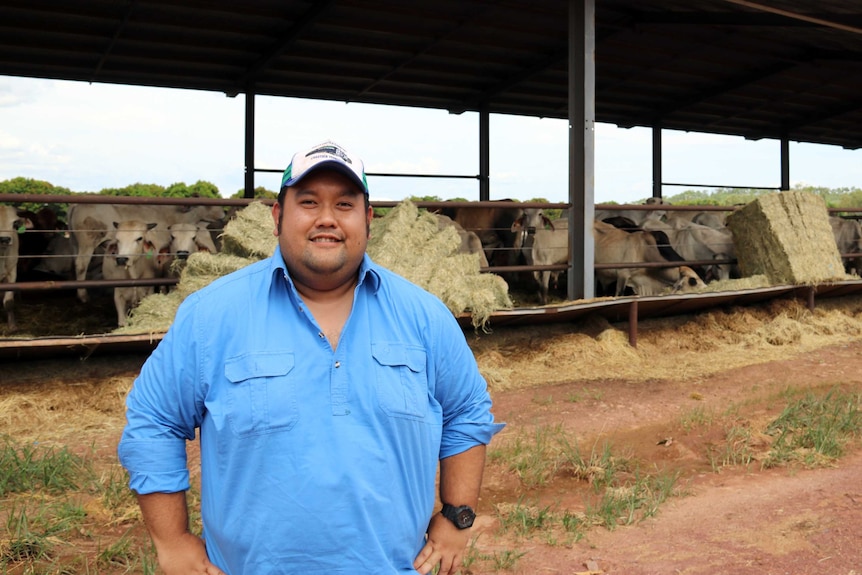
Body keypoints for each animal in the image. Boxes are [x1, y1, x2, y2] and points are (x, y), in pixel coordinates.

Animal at [69, 201, 223, 302]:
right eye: (207, 204)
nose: (224, 212)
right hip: (88, 243)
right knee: (81, 264)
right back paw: (83, 295)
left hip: (76, 243)